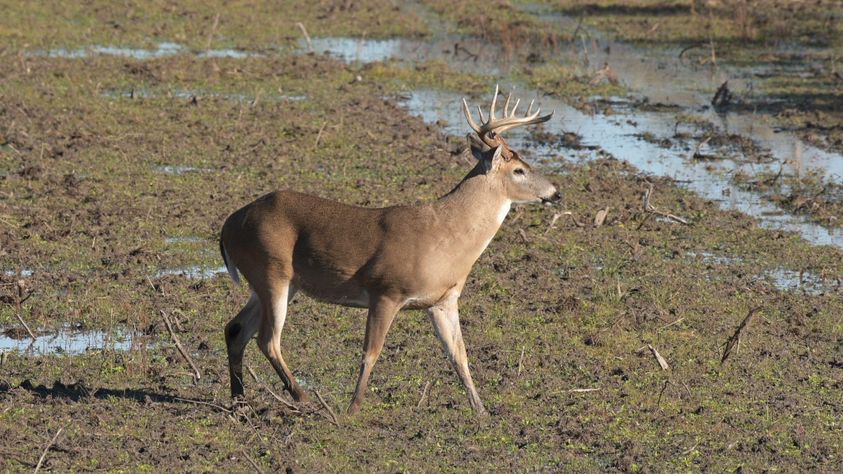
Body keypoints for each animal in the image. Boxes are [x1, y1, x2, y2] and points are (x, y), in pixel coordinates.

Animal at [219, 85, 560, 414]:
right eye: (518, 170)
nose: (556, 193)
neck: (445, 236)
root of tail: (229, 225)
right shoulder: (385, 291)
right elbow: (371, 353)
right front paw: (352, 410)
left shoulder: (444, 300)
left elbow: (459, 357)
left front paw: (482, 412)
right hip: (271, 269)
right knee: (268, 339)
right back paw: (301, 397)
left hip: (279, 282)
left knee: (236, 329)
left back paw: (240, 401)